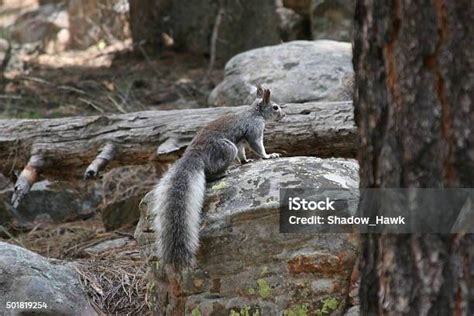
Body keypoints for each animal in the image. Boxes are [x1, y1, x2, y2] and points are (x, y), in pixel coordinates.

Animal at [151, 86, 286, 270]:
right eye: (275, 107)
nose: (284, 115)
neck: (255, 112)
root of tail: (194, 154)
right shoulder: (254, 130)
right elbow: (258, 146)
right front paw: (268, 156)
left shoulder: (241, 142)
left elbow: (243, 153)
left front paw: (246, 161)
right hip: (226, 149)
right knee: (211, 173)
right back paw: (223, 173)